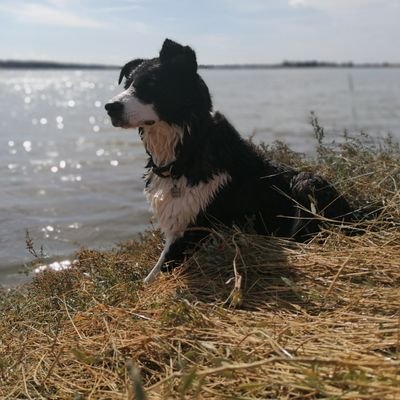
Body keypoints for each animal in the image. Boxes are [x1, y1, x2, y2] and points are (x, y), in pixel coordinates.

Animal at [105, 39, 354, 282]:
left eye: (152, 83)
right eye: (126, 84)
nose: (109, 107)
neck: (189, 150)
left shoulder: (195, 229)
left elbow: (156, 274)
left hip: (306, 183)